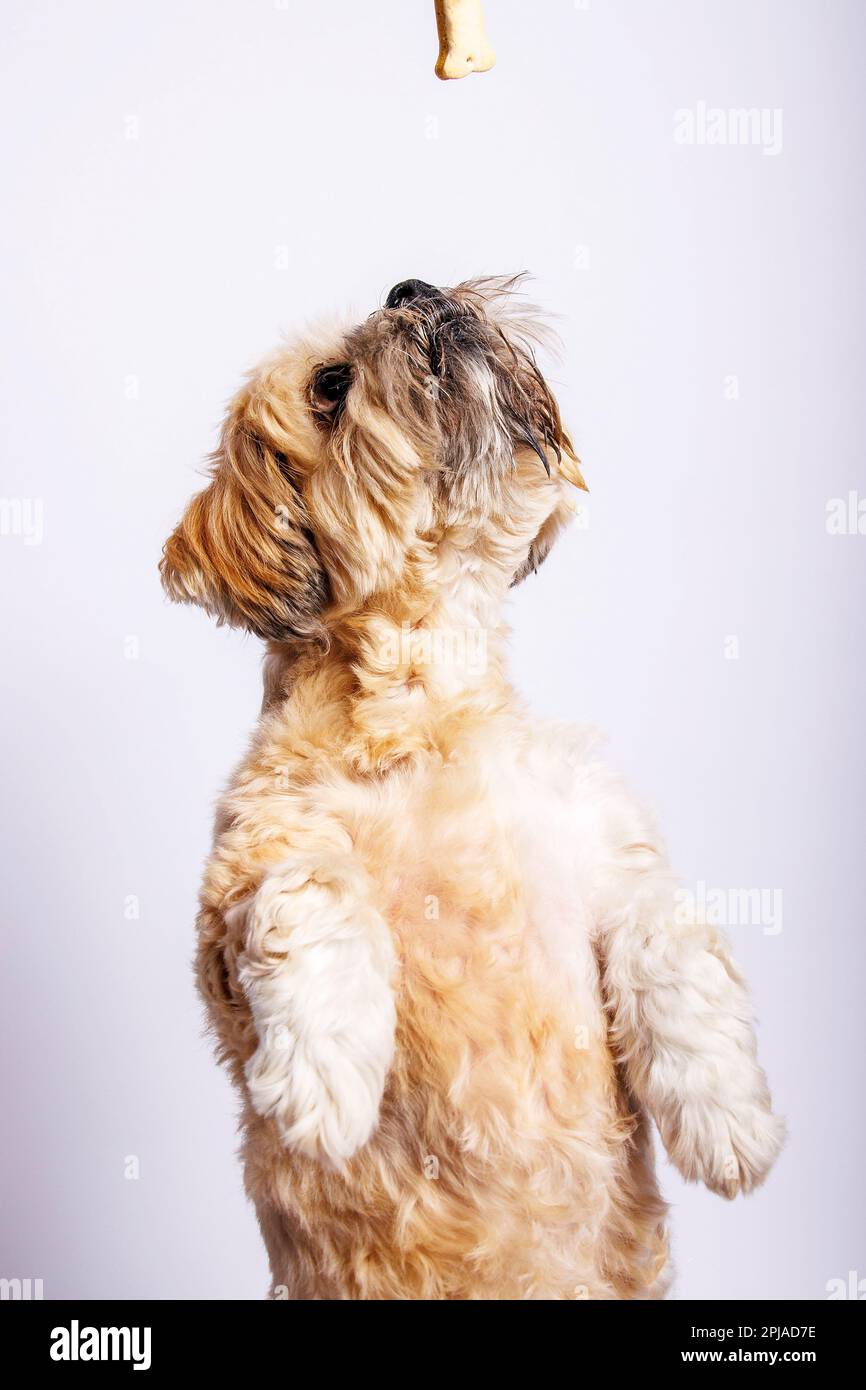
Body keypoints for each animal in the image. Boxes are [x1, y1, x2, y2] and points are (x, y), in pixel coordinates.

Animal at [159, 276, 783, 1295]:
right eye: (330, 386)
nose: (412, 287)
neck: (431, 710)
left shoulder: (615, 859)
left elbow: (670, 945)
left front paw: (731, 1119)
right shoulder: (243, 883)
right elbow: (309, 890)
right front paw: (323, 1077)